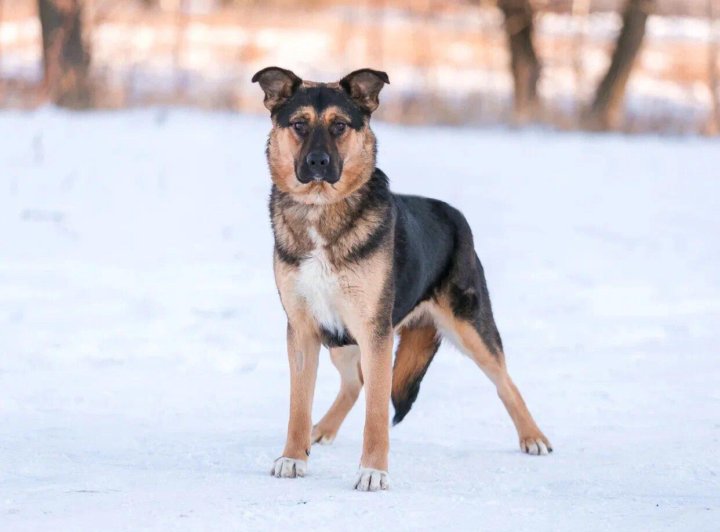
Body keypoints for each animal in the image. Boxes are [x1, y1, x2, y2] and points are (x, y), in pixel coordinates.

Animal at [253, 68, 552, 492]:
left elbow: (378, 412)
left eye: (339, 126)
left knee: (505, 382)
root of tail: (455, 215)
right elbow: (299, 404)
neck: (321, 209)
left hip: (469, 328)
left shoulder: (374, 331)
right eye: (299, 125)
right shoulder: (303, 329)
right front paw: (294, 457)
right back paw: (320, 430)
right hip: (341, 340)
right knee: (354, 383)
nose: (317, 161)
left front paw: (373, 472)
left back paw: (533, 437)